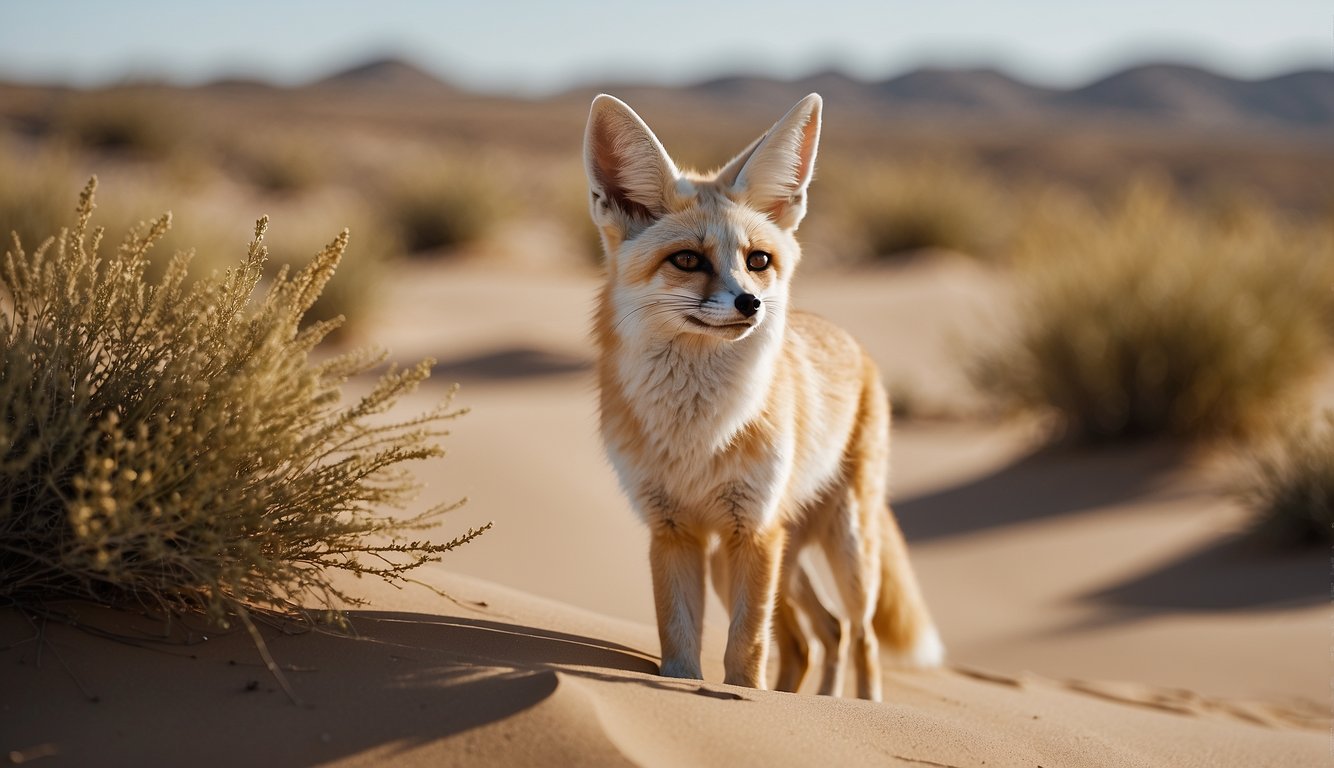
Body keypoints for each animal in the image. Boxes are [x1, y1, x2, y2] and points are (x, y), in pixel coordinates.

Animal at [584, 92, 942, 700]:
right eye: (687, 260)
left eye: (758, 261)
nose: (750, 303)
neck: (699, 433)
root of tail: (852, 341)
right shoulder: (673, 530)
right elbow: (679, 645)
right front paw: (688, 688)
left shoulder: (752, 529)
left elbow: (746, 649)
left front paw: (741, 697)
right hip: (750, 564)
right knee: (819, 636)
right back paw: (815, 701)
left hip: (841, 551)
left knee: (859, 635)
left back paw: (861, 707)